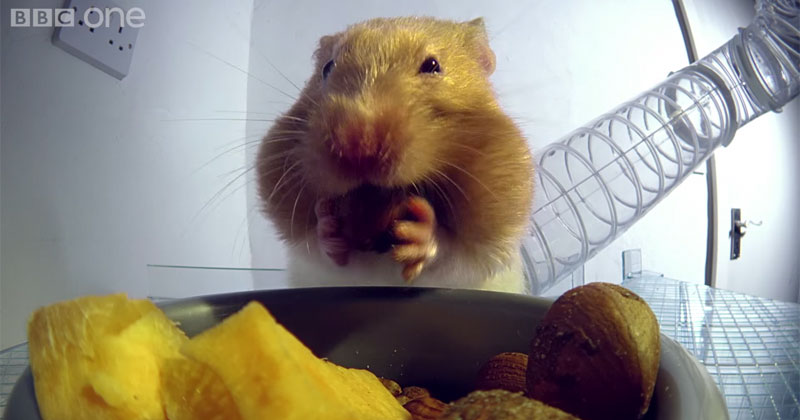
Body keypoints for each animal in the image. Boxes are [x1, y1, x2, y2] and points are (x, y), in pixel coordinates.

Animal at [255, 17, 534, 293]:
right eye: (327, 68)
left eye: (432, 65)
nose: (359, 146)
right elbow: (318, 245)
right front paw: (327, 223)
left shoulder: (488, 245)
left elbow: (449, 252)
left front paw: (417, 234)